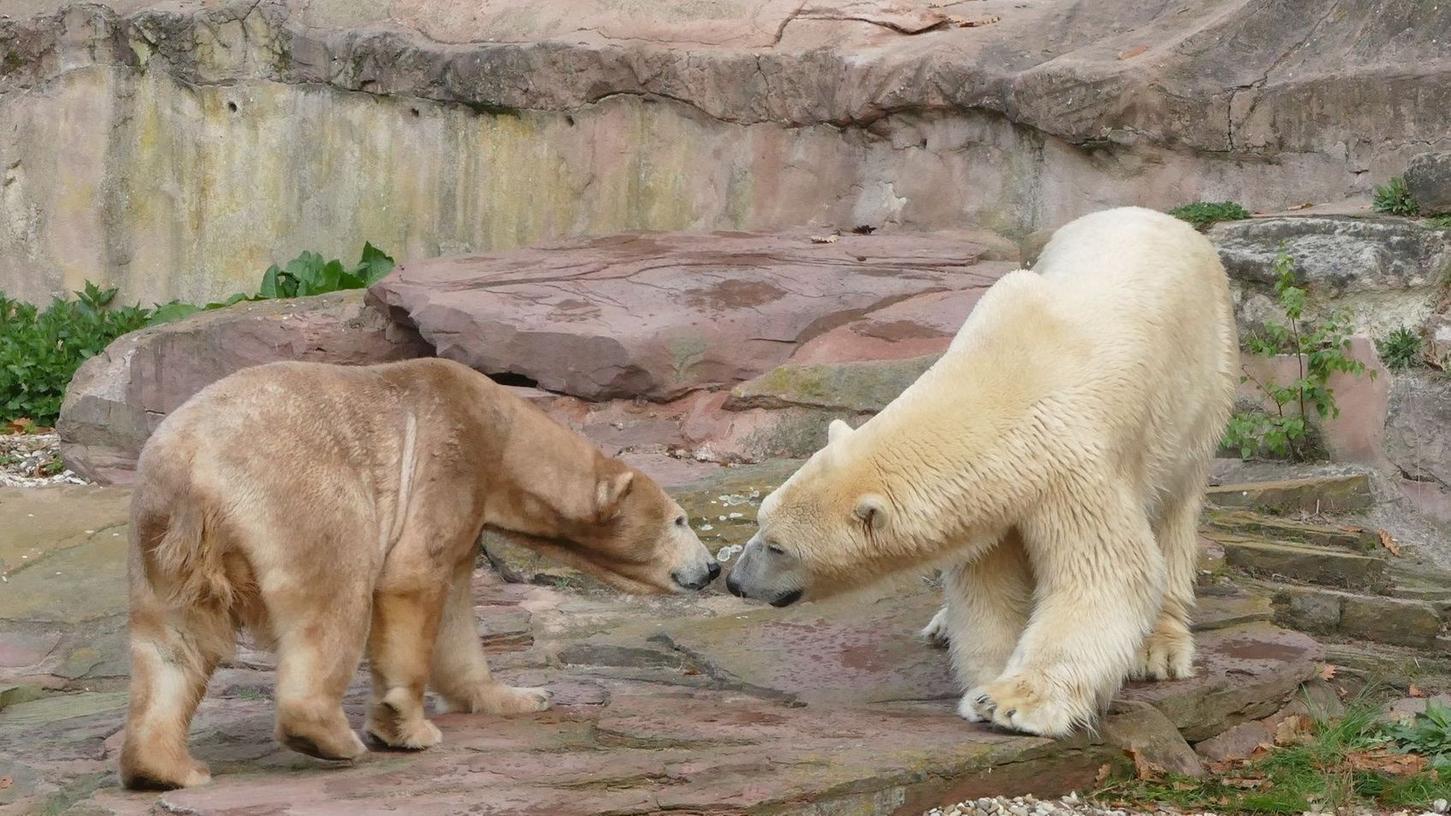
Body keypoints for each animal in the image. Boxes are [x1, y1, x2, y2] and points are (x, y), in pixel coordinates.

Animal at [120, 357, 719, 789]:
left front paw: (523, 695)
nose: (712, 568)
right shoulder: (448, 460)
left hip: (162, 541)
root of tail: (191, 468)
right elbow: (413, 582)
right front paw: (407, 727)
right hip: (300, 497)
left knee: (173, 645)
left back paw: (168, 769)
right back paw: (332, 738)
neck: (500, 431)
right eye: (680, 519)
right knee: (333, 602)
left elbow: (456, 614)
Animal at [725, 204, 1236, 737]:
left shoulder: (1077, 465)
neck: (1005, 380)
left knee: (1175, 511)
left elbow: (1107, 572)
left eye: (778, 547)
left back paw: (1160, 647)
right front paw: (984, 682)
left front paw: (1013, 703)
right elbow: (987, 584)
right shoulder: (994, 500)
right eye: (760, 522)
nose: (734, 581)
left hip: (1199, 392)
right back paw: (941, 625)